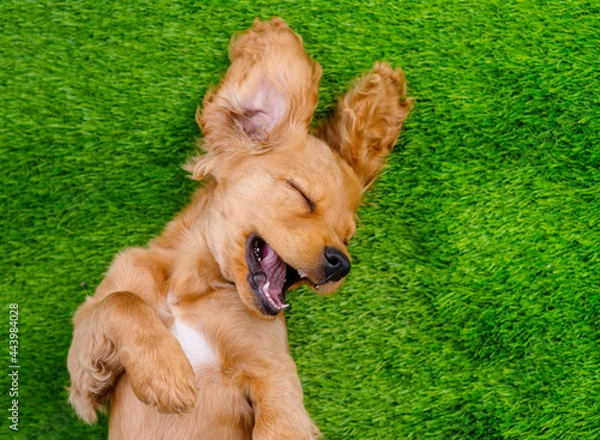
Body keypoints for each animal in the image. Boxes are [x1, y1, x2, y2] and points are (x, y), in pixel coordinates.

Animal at [68, 18, 410, 440]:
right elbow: (120, 302)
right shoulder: (83, 374)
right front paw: (166, 373)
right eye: (302, 195)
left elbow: (280, 426)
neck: (191, 287)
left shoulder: (274, 375)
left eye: (348, 236)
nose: (341, 264)